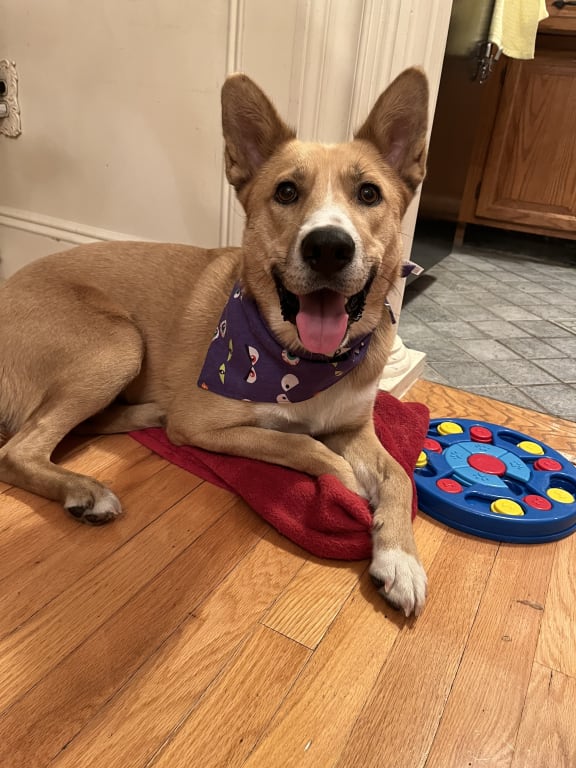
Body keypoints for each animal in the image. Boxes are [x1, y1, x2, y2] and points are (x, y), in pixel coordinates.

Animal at [0, 69, 428, 616]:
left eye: (369, 194)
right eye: (286, 191)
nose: (329, 247)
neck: (303, 360)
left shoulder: (353, 426)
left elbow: (398, 475)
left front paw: (399, 557)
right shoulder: (209, 423)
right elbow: (299, 441)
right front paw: (347, 485)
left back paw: (145, 416)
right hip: (119, 342)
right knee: (19, 448)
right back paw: (87, 490)